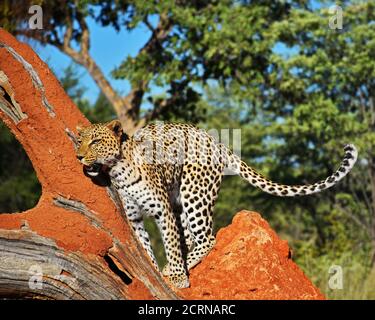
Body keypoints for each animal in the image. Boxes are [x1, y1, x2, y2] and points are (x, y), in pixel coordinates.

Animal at [75, 119, 360, 288]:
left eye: (96, 141)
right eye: (80, 141)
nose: (78, 156)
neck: (119, 170)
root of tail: (216, 141)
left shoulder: (163, 210)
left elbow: (170, 244)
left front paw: (177, 276)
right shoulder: (134, 218)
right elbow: (144, 247)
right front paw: (152, 271)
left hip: (195, 194)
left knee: (207, 239)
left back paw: (181, 266)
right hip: (182, 200)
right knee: (191, 236)